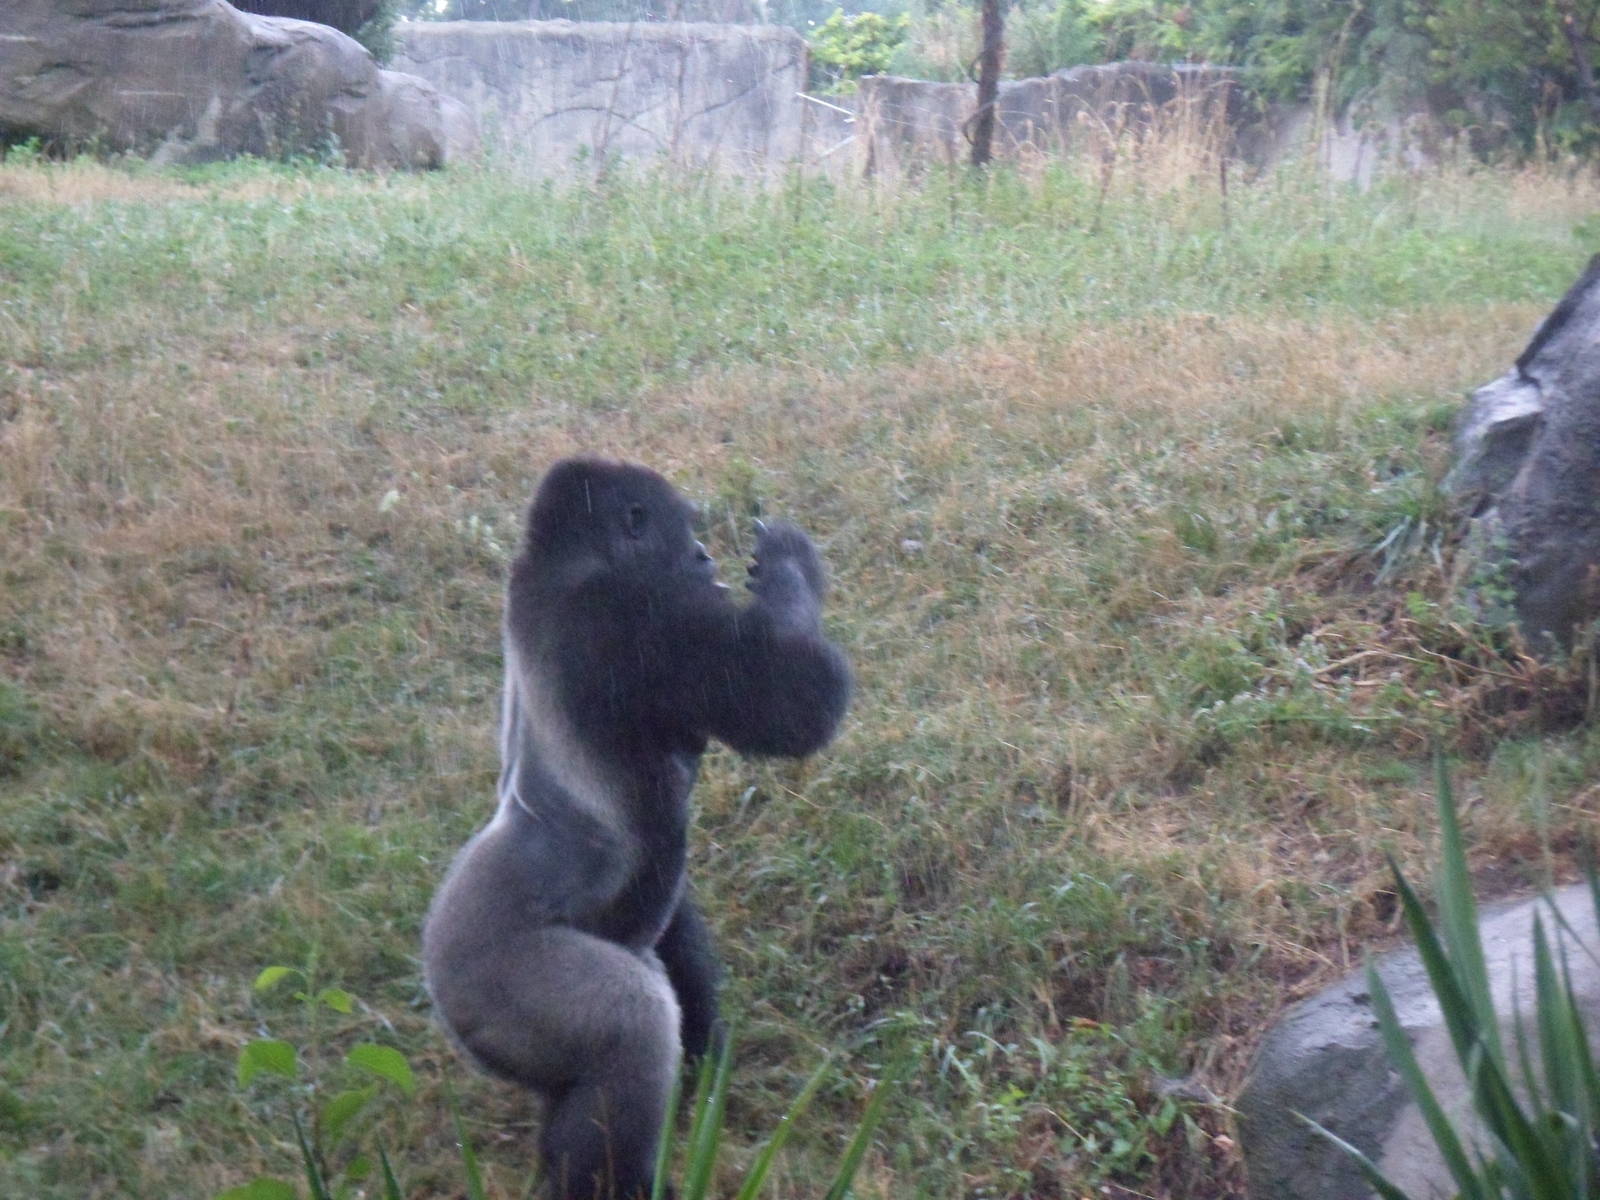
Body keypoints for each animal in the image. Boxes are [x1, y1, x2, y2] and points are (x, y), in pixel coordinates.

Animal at [422, 457, 851, 1200]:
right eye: (684, 534)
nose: (705, 556)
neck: (562, 564)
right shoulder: (643, 613)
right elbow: (792, 701)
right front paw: (787, 564)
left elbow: (673, 930)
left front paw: (710, 1062)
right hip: (485, 976)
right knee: (635, 1023)